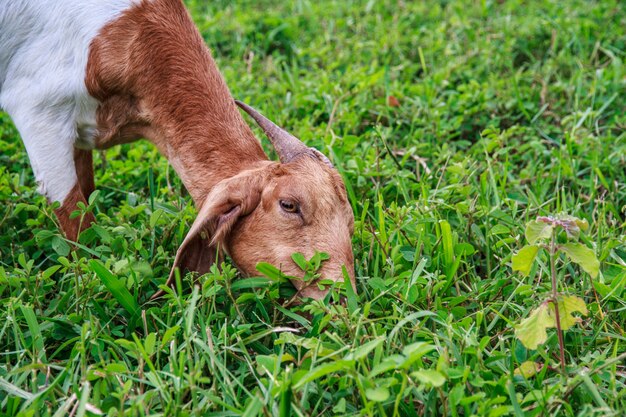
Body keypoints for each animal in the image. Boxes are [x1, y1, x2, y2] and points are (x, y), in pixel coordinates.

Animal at [0, 0, 356, 300]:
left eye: (350, 221)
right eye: (289, 205)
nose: (341, 296)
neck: (123, 35)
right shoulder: (39, 114)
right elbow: (75, 217)